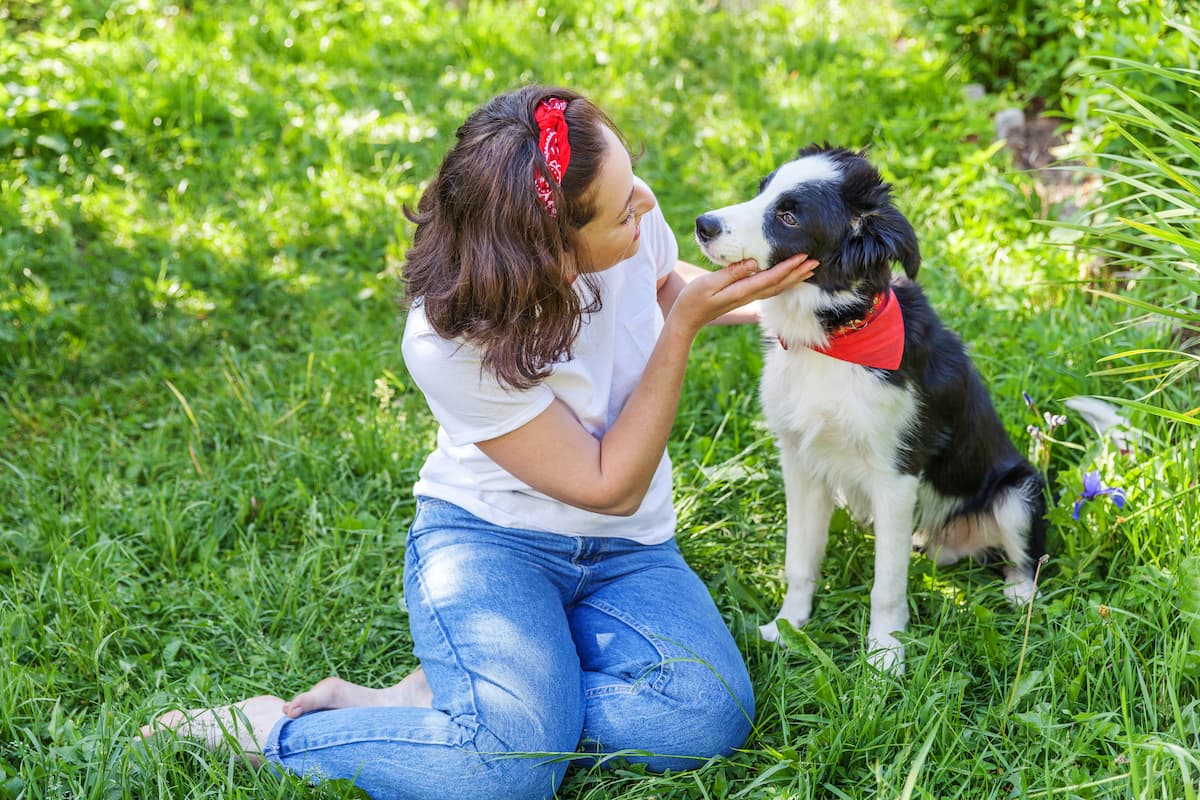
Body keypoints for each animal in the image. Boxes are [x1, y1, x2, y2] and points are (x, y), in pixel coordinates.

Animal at [700, 146, 1046, 671]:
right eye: (762, 190)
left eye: (788, 216)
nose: (702, 224)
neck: (832, 343)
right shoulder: (800, 463)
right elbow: (799, 561)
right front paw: (787, 627)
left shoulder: (896, 477)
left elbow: (886, 586)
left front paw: (885, 656)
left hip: (1017, 493)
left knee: (1026, 560)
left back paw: (1020, 598)